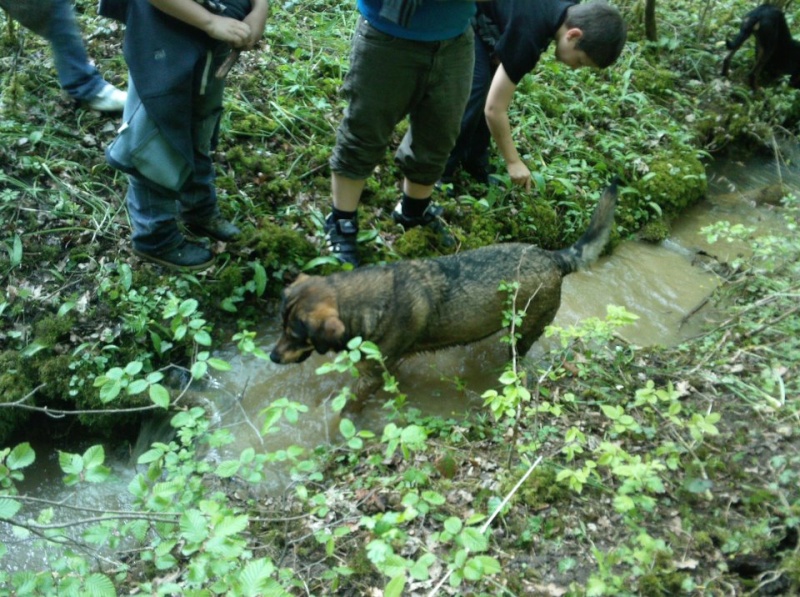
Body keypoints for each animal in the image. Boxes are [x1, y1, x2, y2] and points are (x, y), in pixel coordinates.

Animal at [270, 179, 620, 408]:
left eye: (296, 335)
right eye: (280, 328)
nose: (272, 356)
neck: (366, 303)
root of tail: (552, 257)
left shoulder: (373, 376)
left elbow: (347, 407)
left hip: (525, 330)